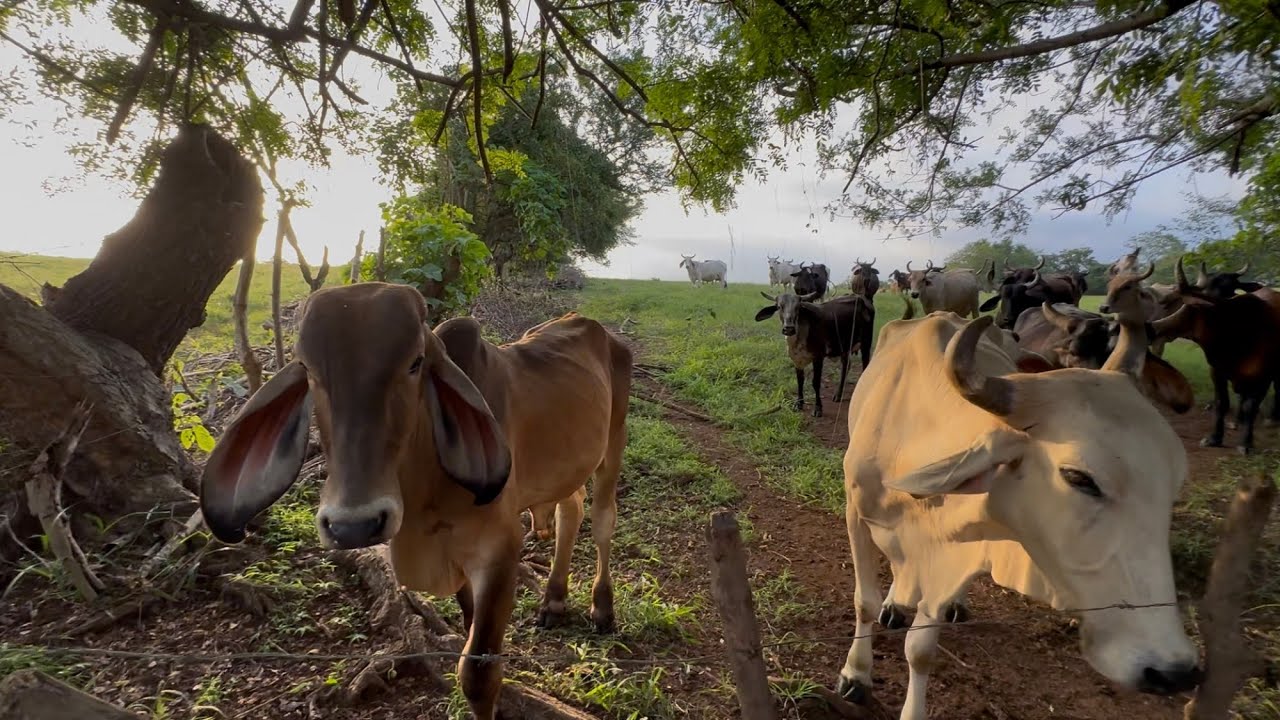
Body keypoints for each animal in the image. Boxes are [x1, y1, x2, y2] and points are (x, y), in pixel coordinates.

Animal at [198, 283, 632, 720]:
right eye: (307, 369)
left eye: (415, 363)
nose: (354, 525)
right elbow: (470, 630)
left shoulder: (499, 549)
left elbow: (478, 673)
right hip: (567, 466)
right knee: (570, 509)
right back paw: (554, 600)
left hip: (613, 444)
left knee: (602, 520)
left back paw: (603, 608)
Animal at [835, 305, 1201, 719]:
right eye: (1078, 477)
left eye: (1173, 483)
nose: (1174, 671)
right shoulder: (855, 513)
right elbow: (864, 602)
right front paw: (856, 674)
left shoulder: (953, 548)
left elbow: (922, 648)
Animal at [1154, 259, 1280, 453]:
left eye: (1192, 307)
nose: (1154, 327)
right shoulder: (1217, 371)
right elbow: (1222, 403)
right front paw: (1214, 438)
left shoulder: (1263, 377)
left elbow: (1251, 407)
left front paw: (1246, 443)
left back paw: (1271, 418)